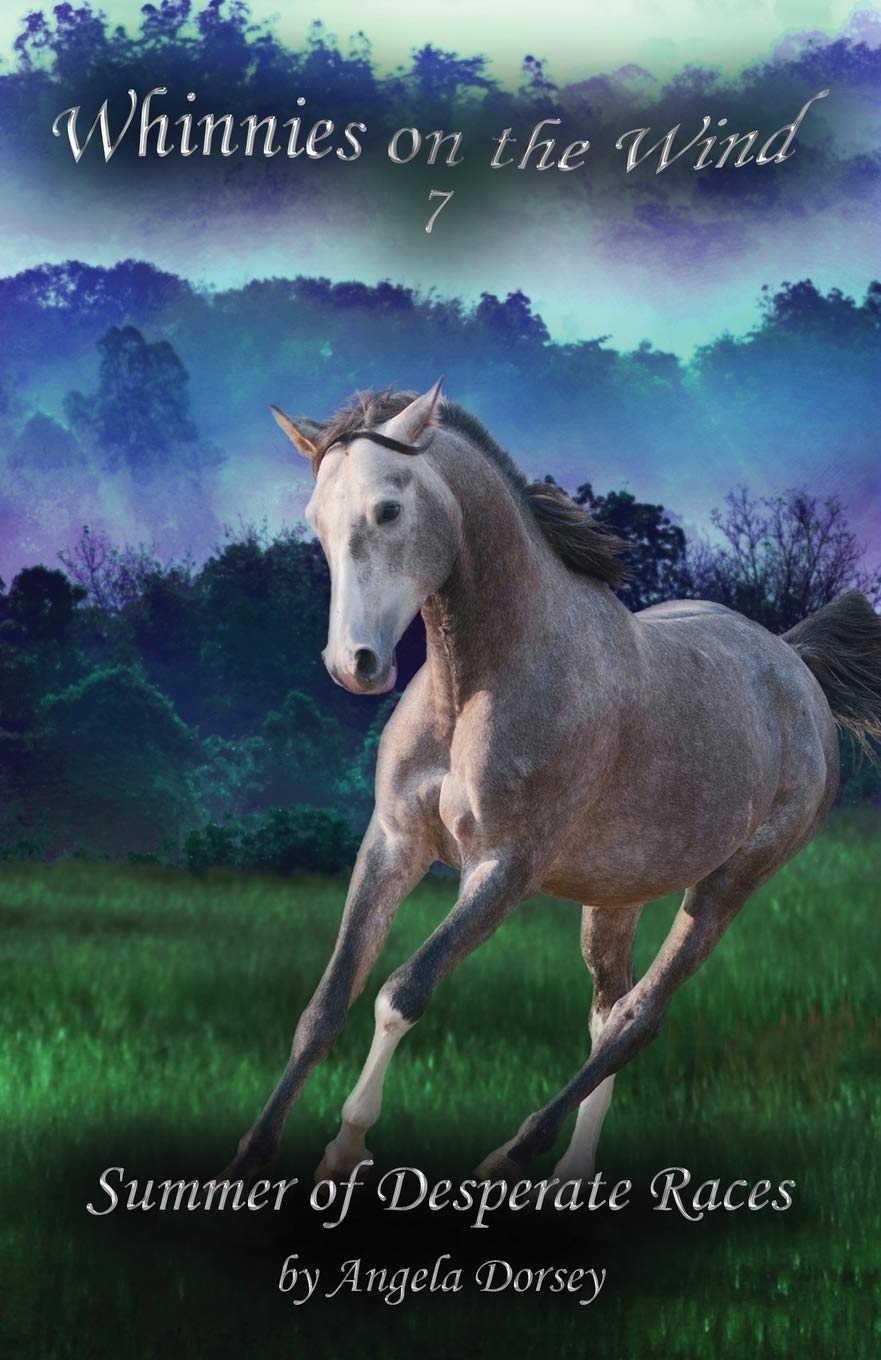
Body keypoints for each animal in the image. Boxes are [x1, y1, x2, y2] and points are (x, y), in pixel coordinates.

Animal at [224, 381, 881, 1187]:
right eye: (315, 518)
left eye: (388, 509)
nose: (356, 664)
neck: (475, 684)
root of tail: (793, 663)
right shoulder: (393, 843)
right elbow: (326, 1005)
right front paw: (252, 1155)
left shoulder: (504, 869)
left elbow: (400, 992)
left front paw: (345, 1149)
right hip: (617, 894)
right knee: (607, 1011)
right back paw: (571, 1172)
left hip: (727, 887)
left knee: (636, 1020)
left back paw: (510, 1156)